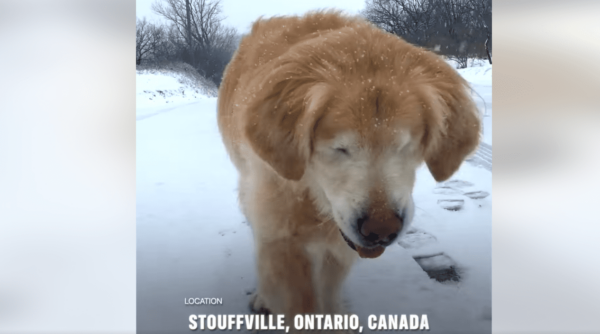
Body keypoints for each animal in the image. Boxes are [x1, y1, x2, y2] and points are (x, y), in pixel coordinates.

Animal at [218, 11, 480, 320]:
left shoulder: (337, 245)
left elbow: (328, 291)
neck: (311, 193)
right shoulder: (280, 235)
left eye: (405, 146)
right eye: (340, 148)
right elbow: (299, 303)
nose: (381, 230)